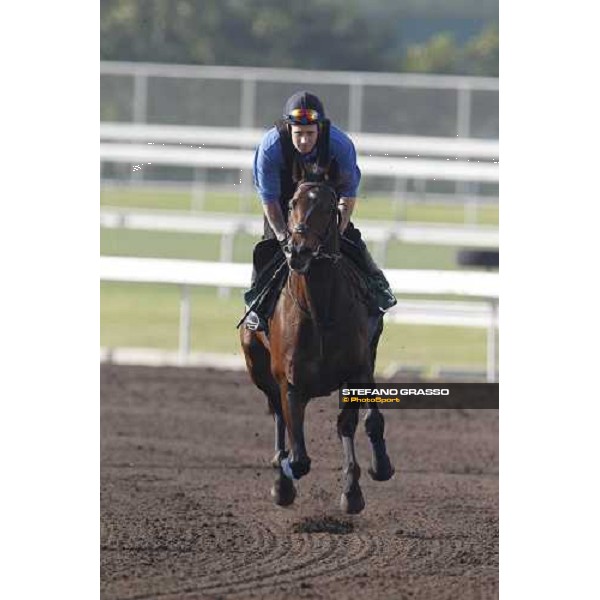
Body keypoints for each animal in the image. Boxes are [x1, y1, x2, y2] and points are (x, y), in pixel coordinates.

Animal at [239, 176, 394, 512]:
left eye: (327, 206)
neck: (321, 310)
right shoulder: (289, 383)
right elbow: (298, 457)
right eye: (291, 204)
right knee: (279, 417)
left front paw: (357, 487)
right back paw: (281, 478)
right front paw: (283, 476)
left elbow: (358, 422)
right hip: (259, 370)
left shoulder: (357, 370)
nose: (298, 250)